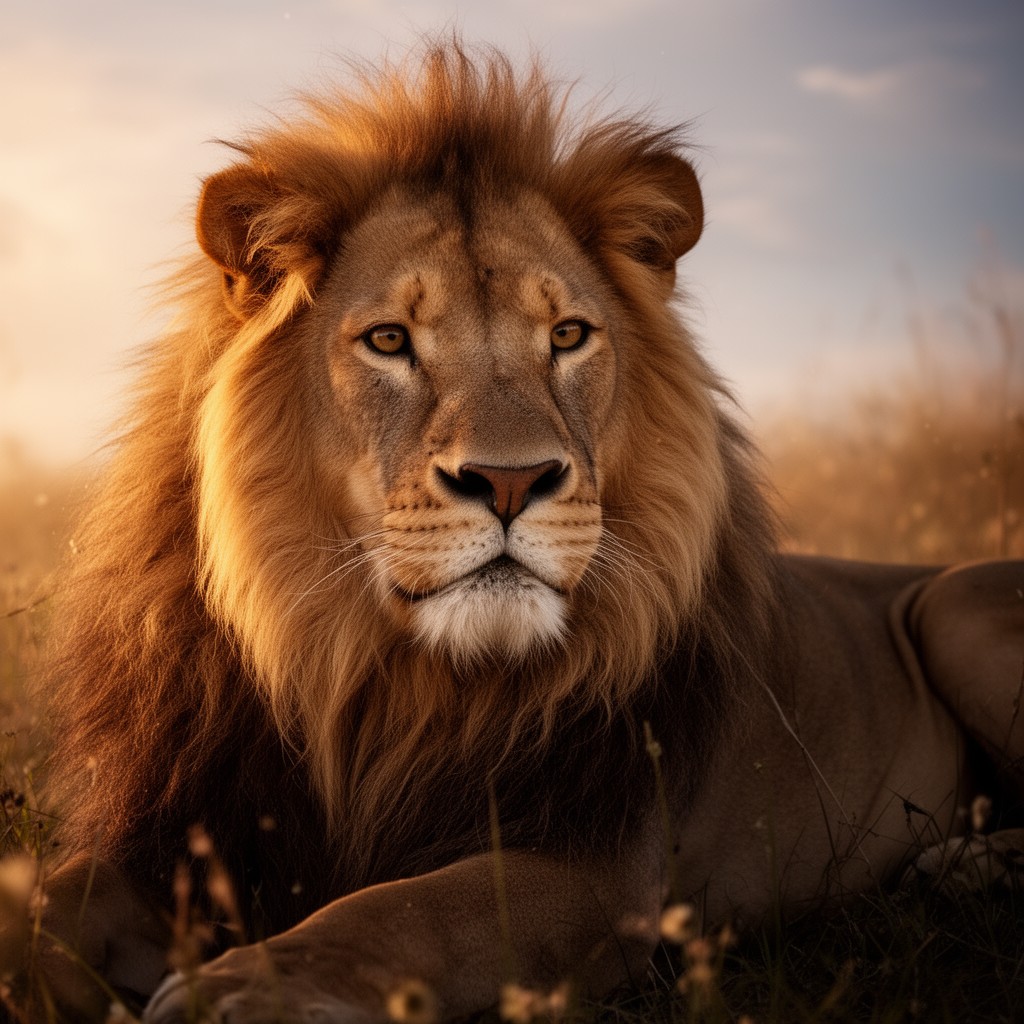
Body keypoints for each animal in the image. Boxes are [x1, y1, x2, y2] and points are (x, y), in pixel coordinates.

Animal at [4, 42, 1022, 1024]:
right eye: (388, 341)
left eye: (568, 335)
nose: (509, 480)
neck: (380, 680)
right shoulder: (188, 829)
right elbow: (46, 899)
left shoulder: (595, 870)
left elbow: (399, 912)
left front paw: (247, 991)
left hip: (960, 603)